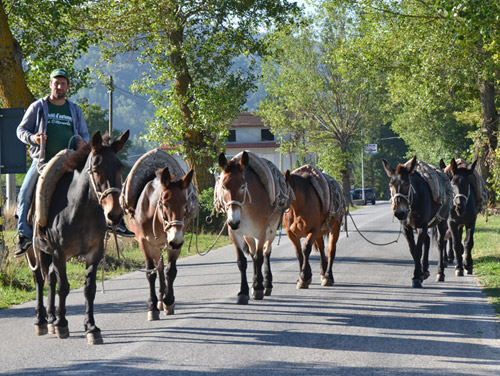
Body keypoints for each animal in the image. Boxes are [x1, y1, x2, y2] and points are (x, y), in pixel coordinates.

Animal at [27, 130, 130, 344]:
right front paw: (62, 325)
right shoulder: (59, 253)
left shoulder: (94, 253)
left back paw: (51, 318)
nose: (115, 215)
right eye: (96, 168)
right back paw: (42, 321)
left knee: (50, 278)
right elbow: (64, 287)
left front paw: (91, 328)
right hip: (36, 251)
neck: (80, 211)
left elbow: (89, 289)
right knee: (40, 280)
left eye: (121, 167)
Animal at [128, 166, 194, 318]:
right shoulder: (145, 243)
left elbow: (171, 271)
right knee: (158, 268)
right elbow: (150, 273)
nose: (175, 240)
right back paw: (159, 301)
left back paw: (164, 300)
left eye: (185, 205)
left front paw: (168, 301)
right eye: (165, 204)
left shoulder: (174, 244)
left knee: (163, 268)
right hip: (155, 247)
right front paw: (152, 307)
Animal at [216, 151, 286, 304]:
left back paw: (266, 284)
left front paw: (259, 288)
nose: (234, 221)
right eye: (223, 187)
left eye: (243, 186)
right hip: (248, 235)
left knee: (266, 253)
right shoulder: (235, 234)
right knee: (253, 254)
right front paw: (244, 292)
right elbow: (242, 262)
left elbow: (260, 257)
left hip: (271, 232)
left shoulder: (261, 233)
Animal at [382, 156, 454, 288]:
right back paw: (425, 270)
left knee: (441, 243)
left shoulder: (422, 226)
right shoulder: (407, 228)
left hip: (441, 222)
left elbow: (418, 250)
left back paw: (440, 273)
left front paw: (416, 277)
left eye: (406, 184)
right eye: (390, 185)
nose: (399, 213)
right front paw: (419, 274)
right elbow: (413, 250)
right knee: (427, 241)